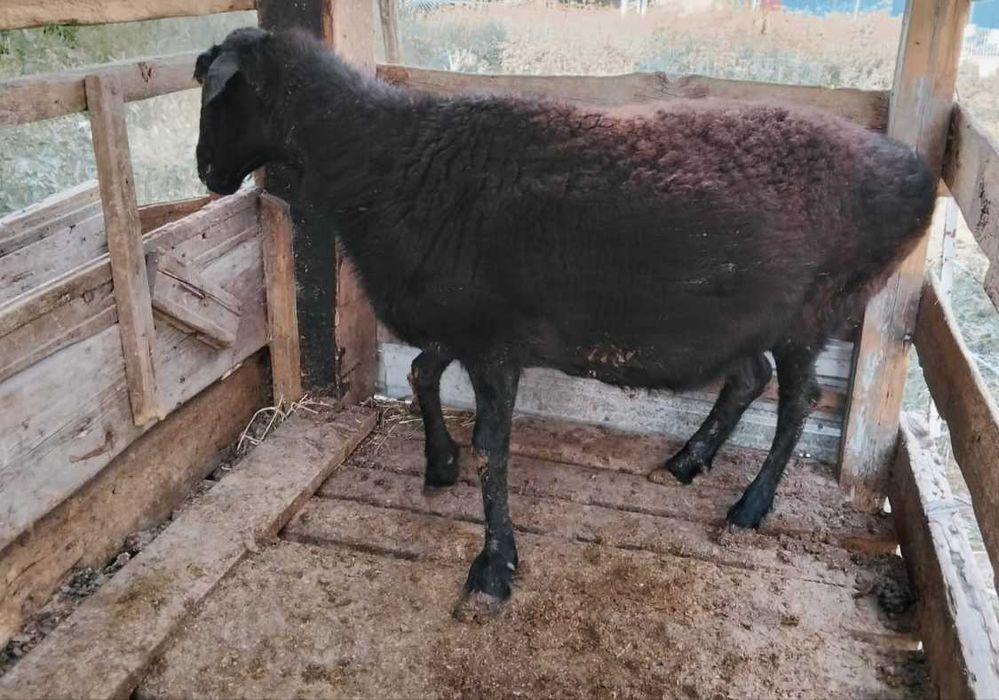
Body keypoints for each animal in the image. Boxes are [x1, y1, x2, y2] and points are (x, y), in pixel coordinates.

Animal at [194, 26, 936, 611]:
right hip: (747, 315)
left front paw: (492, 566)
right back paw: (688, 459)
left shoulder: (491, 339)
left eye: (219, 99)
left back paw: (750, 505)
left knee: (798, 402)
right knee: (748, 377)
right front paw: (439, 463)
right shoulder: (467, 323)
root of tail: (916, 172)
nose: (204, 172)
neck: (388, 161)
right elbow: (421, 375)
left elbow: (492, 447)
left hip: (816, 309)